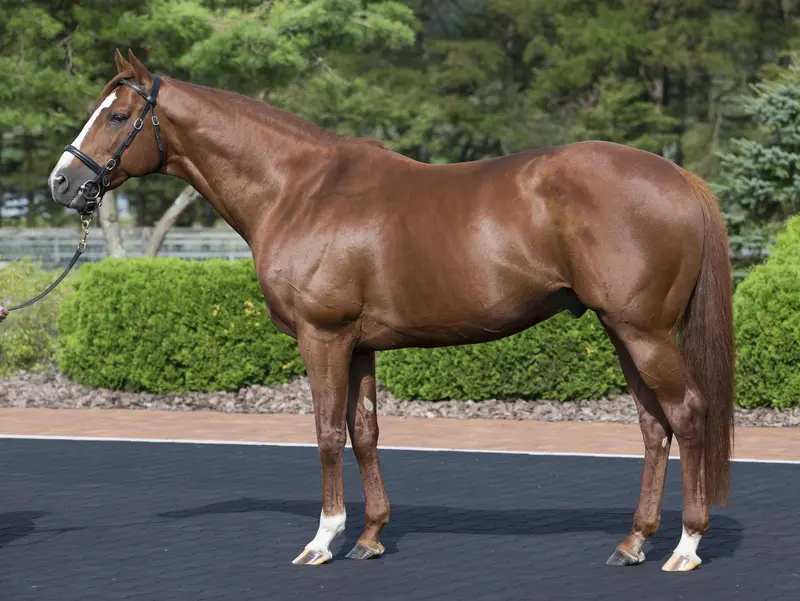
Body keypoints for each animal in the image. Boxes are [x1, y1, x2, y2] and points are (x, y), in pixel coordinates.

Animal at [48, 49, 735, 572]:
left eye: (117, 115)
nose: (61, 183)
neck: (299, 190)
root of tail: (678, 177)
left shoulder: (321, 337)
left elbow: (327, 432)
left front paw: (323, 539)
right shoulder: (359, 345)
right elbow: (365, 432)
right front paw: (371, 536)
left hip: (644, 332)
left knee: (688, 414)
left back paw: (686, 545)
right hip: (623, 331)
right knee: (654, 427)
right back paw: (634, 542)